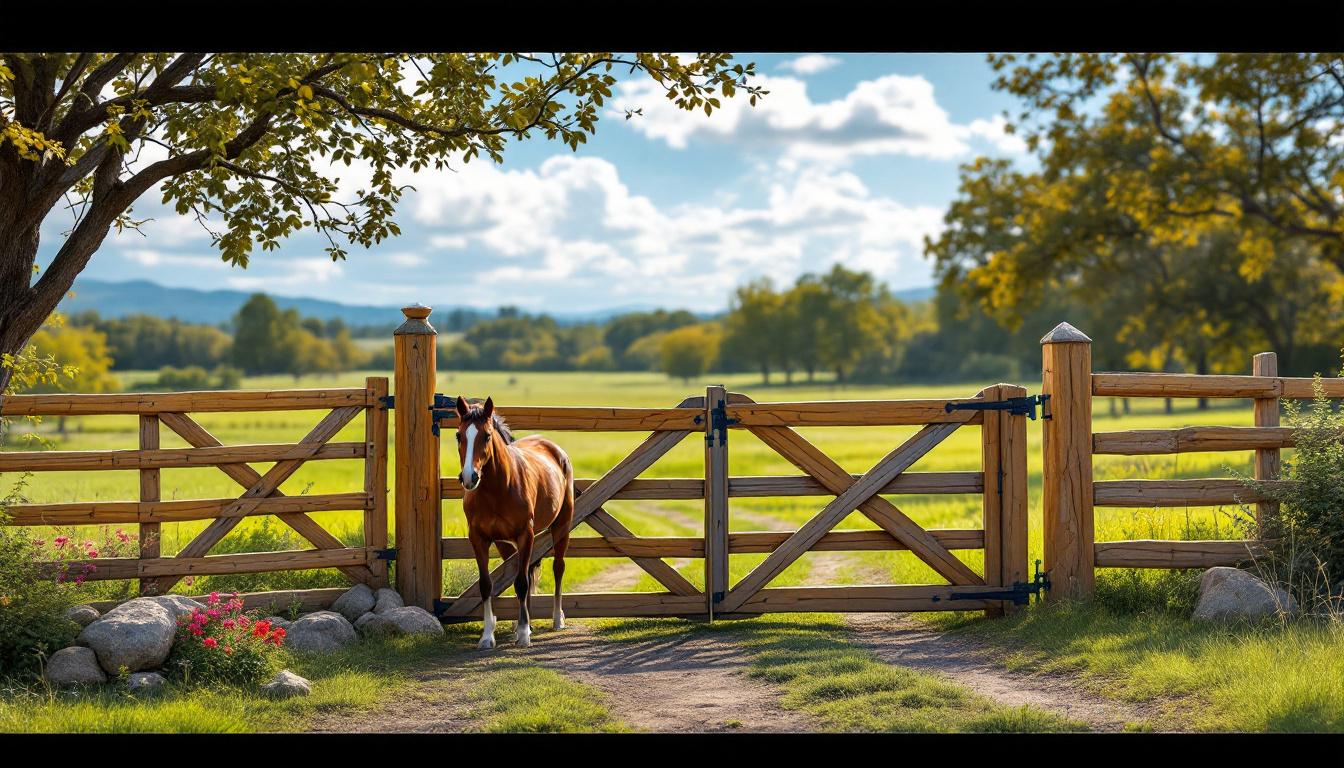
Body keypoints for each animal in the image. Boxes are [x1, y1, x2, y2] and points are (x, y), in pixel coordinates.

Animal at [452, 395, 574, 649]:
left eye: (487, 435)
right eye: (459, 435)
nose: (469, 477)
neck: (498, 489)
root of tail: (555, 449)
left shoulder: (525, 534)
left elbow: (521, 583)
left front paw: (524, 634)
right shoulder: (479, 538)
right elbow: (487, 584)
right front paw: (488, 635)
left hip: (562, 525)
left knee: (558, 568)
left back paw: (557, 619)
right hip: (507, 545)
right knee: (525, 572)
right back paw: (521, 623)